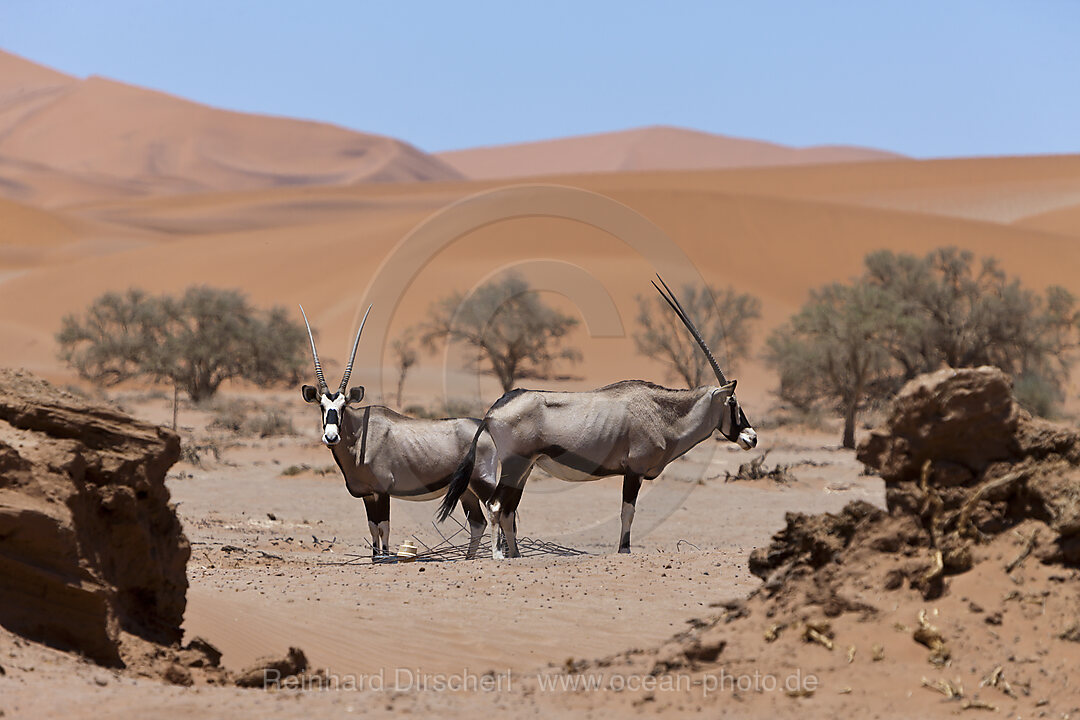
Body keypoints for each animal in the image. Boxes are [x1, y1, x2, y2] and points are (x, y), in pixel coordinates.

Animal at [300, 306, 501, 561]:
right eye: (322, 406)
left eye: (344, 406)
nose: (331, 437)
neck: (360, 433)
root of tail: (483, 427)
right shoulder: (368, 494)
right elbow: (372, 526)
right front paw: (375, 557)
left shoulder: (382, 491)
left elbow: (383, 526)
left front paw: (385, 557)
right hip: (467, 490)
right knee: (478, 522)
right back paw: (469, 558)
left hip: (482, 481)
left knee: (498, 509)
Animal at [434, 276, 756, 557]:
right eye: (733, 402)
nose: (751, 438)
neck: (661, 412)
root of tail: (494, 409)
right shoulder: (634, 471)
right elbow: (628, 513)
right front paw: (624, 550)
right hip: (516, 464)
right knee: (496, 505)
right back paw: (499, 556)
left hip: (524, 468)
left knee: (509, 509)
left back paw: (516, 555)